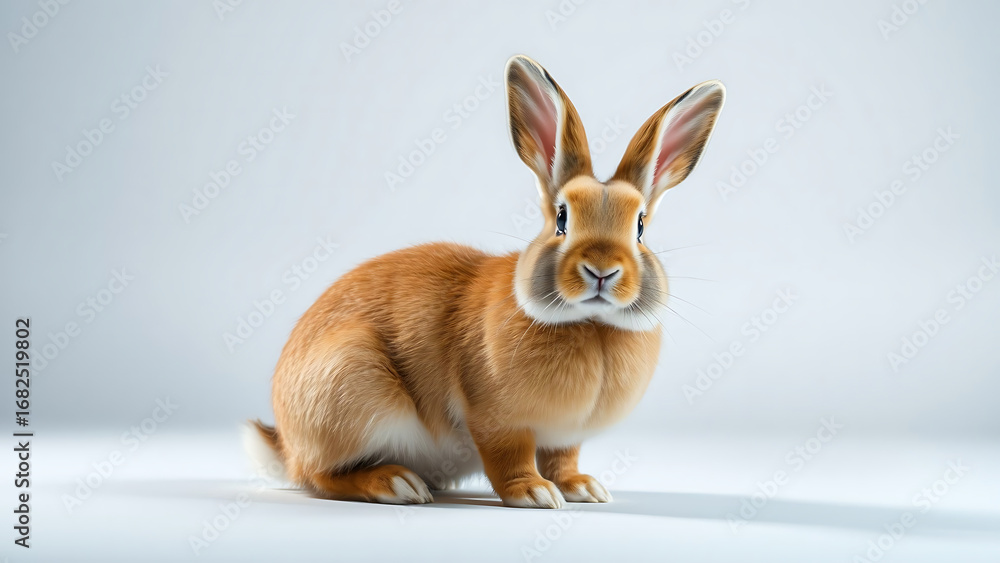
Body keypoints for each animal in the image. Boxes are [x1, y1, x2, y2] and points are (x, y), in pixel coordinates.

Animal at [246, 54, 725, 508]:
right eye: (562, 219)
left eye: (640, 226)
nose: (602, 270)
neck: (591, 325)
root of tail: (284, 441)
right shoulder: (496, 418)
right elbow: (507, 456)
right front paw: (532, 493)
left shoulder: (565, 436)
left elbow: (563, 459)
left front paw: (582, 488)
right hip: (352, 384)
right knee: (319, 475)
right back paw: (396, 483)